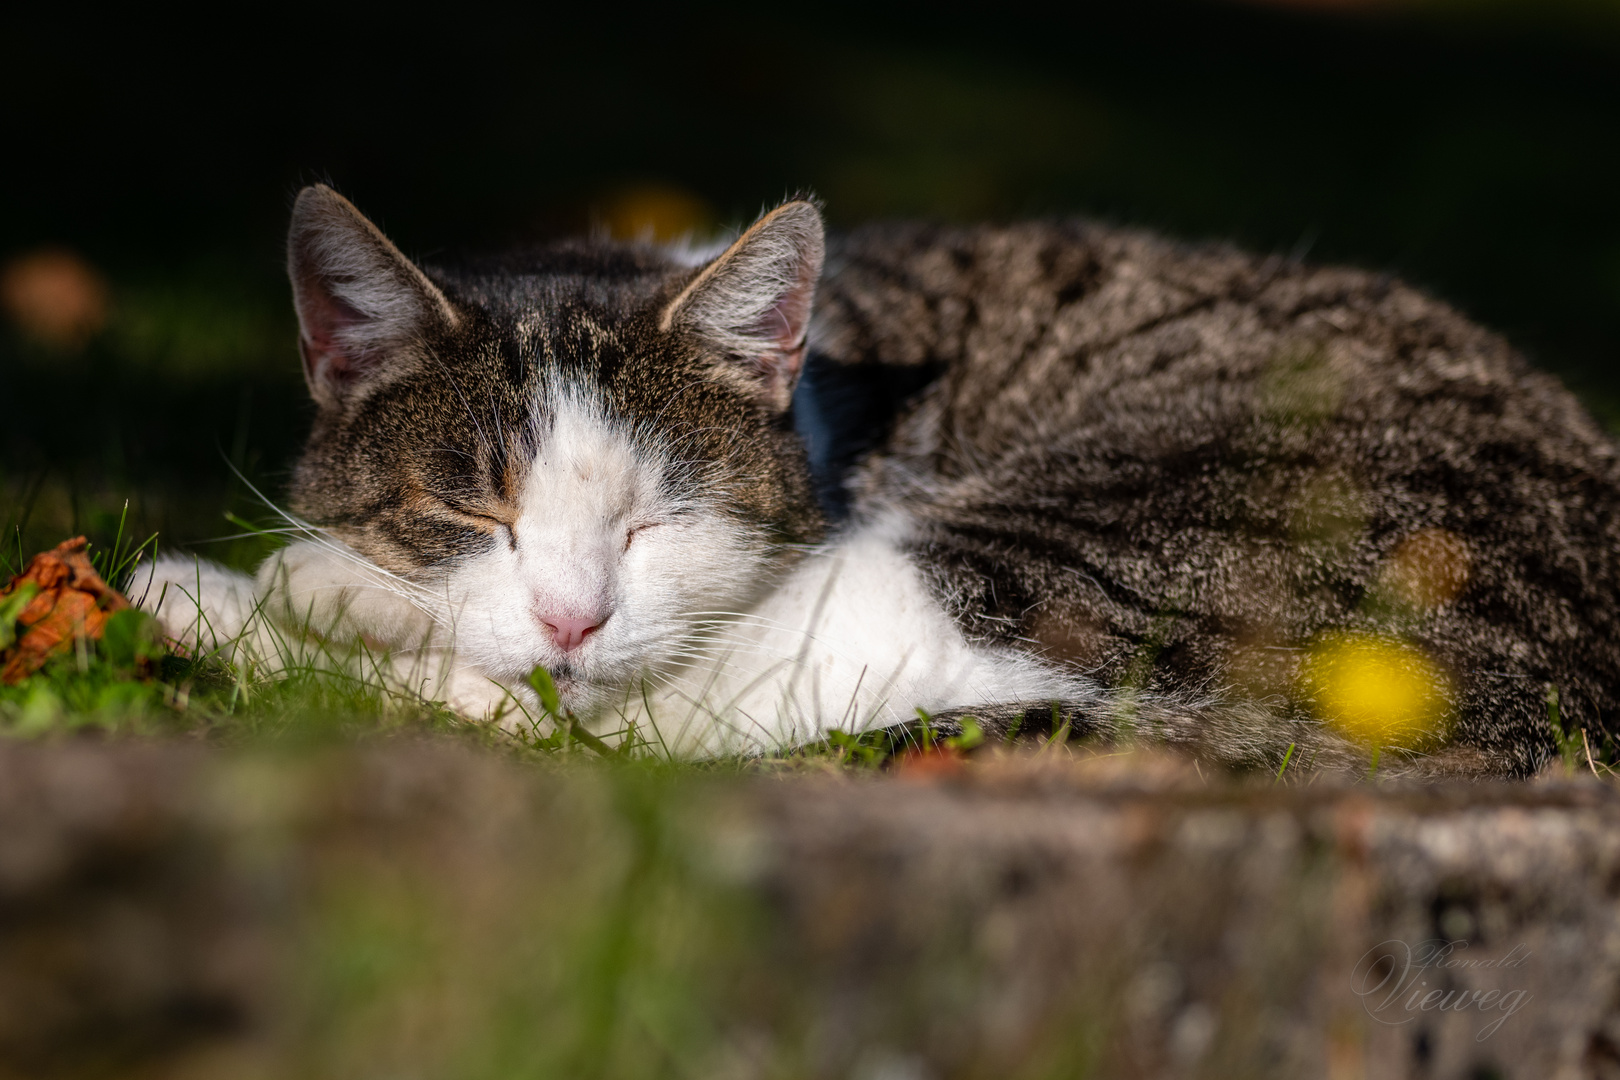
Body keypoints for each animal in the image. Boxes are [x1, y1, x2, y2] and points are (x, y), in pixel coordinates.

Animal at [136, 186, 1620, 777]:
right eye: (468, 513)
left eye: (662, 518)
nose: (571, 617)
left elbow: (602, 712)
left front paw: (295, 585)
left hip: (1084, 548)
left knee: (649, 731)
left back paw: (229, 597)